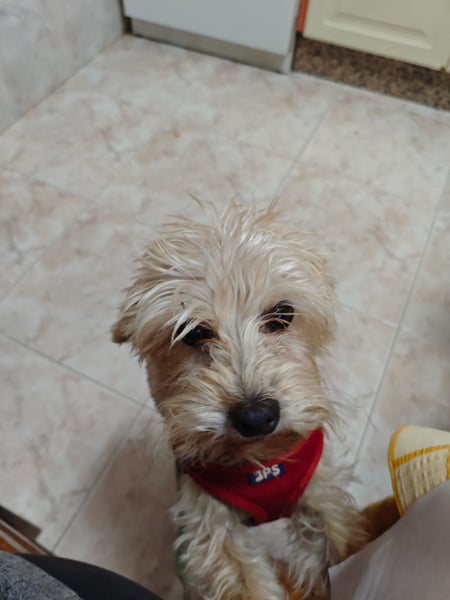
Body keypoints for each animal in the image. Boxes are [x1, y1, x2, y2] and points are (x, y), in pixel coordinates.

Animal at [112, 201, 366, 599]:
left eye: (282, 314)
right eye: (193, 332)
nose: (256, 416)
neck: (258, 464)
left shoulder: (322, 491)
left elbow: (341, 537)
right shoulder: (208, 519)